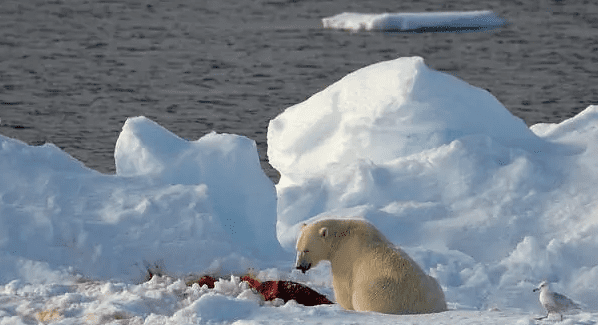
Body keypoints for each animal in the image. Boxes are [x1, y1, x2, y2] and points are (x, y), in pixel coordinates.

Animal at [298, 218, 448, 314]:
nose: (299, 266)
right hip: (433, 286)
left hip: (380, 290)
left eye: (306, 250)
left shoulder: (344, 257)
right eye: (297, 249)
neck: (341, 237)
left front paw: (344, 306)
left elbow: (344, 288)